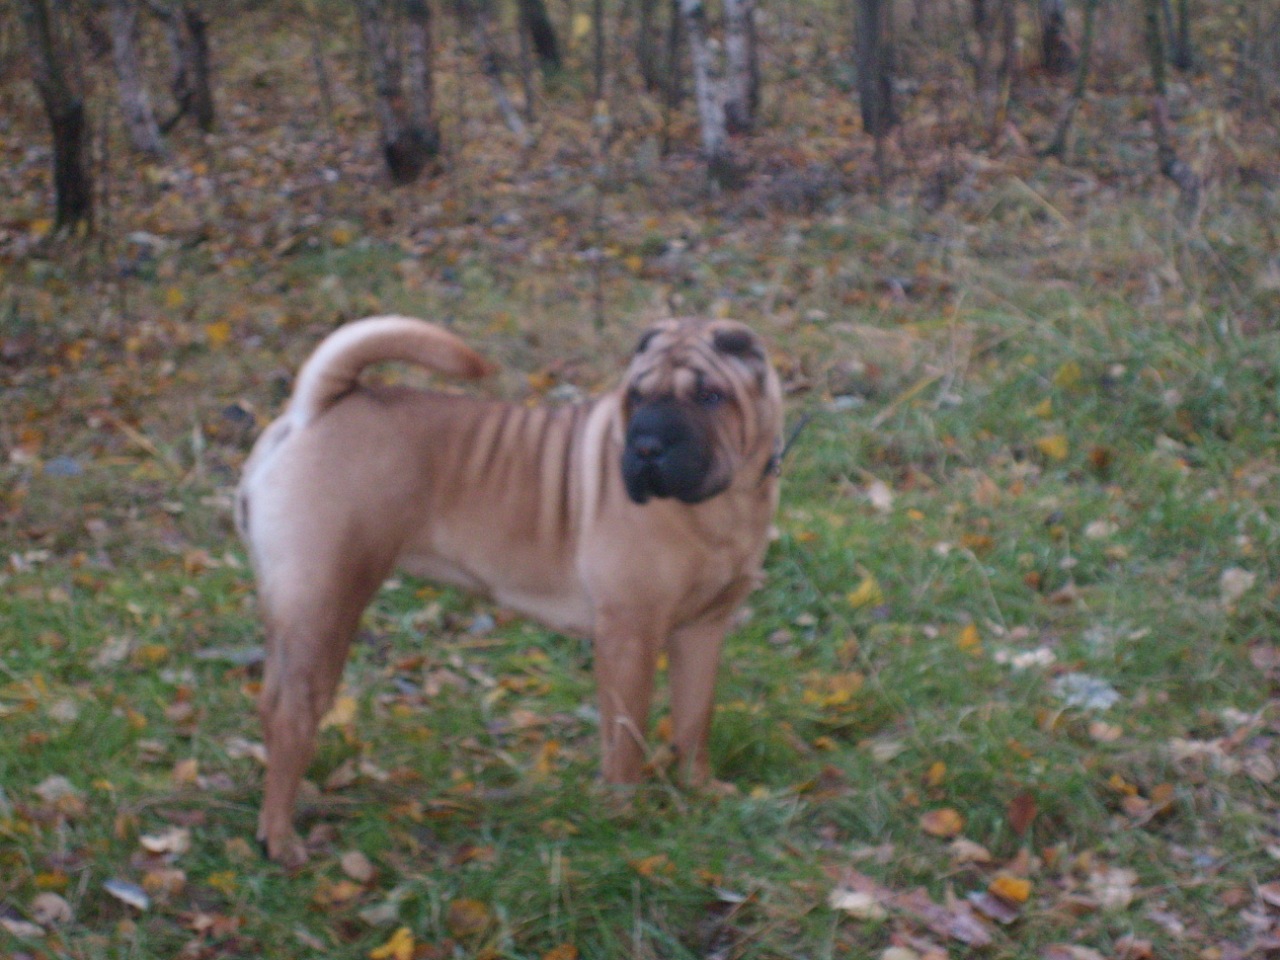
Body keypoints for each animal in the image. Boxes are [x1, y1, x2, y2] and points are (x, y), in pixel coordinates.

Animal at [236, 315, 783, 866]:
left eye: (711, 396)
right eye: (637, 396)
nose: (647, 445)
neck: (726, 504)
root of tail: (314, 410)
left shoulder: (704, 629)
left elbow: (694, 717)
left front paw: (700, 790)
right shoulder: (630, 634)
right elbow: (626, 736)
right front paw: (625, 814)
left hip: (296, 612)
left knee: (272, 704)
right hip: (326, 603)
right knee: (292, 715)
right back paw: (281, 838)